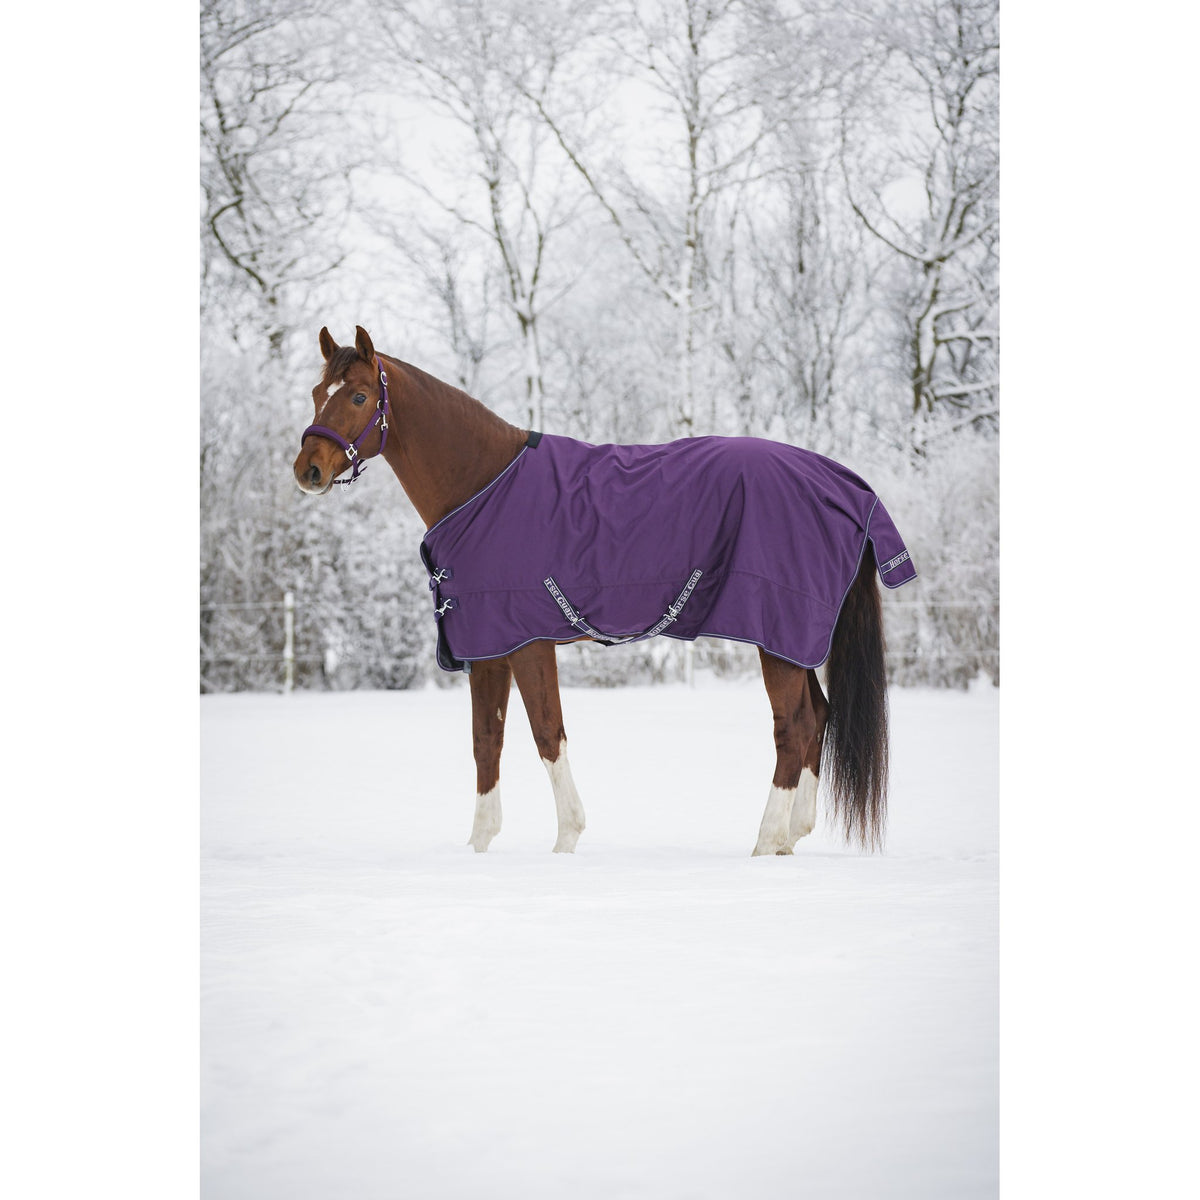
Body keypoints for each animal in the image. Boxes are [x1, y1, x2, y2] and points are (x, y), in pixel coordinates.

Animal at [293, 326, 915, 855]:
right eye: (317, 392)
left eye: (358, 397)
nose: (308, 470)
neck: (483, 485)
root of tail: (844, 485)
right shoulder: (487, 649)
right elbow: (485, 742)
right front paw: (479, 846)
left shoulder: (528, 644)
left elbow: (547, 735)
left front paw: (566, 842)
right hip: (793, 640)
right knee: (819, 716)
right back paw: (791, 837)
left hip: (778, 635)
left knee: (795, 727)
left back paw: (764, 844)